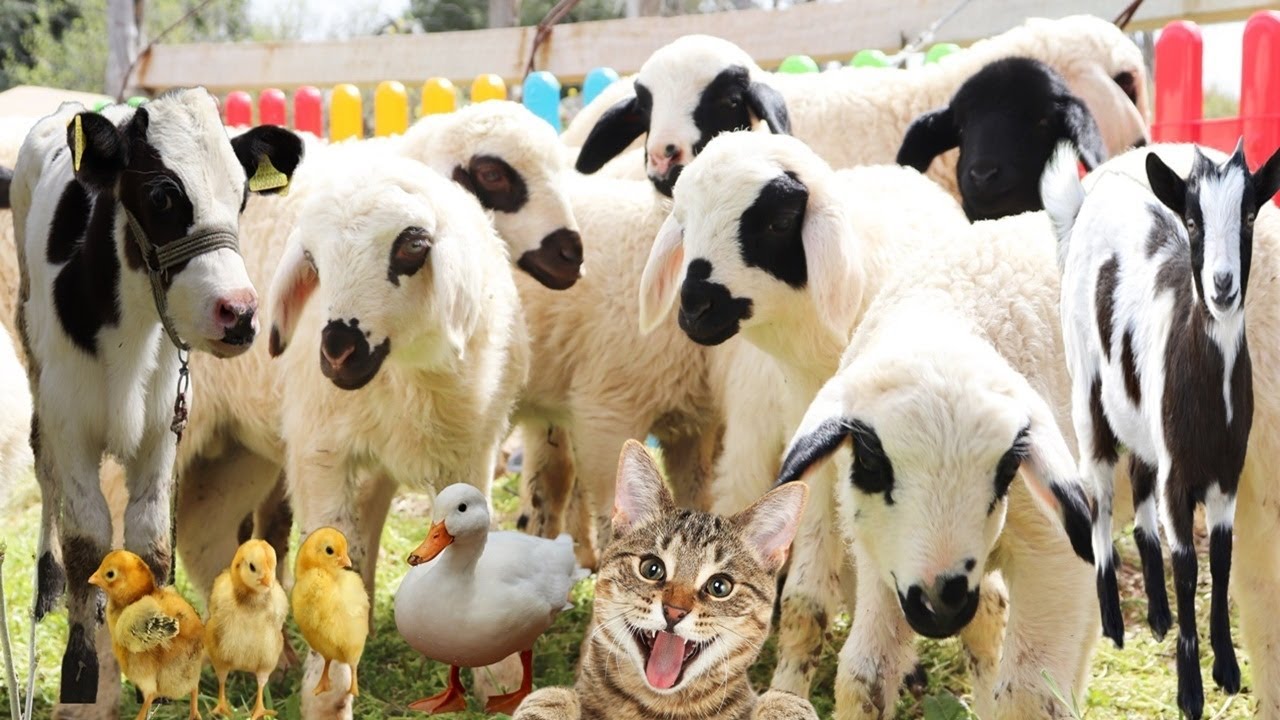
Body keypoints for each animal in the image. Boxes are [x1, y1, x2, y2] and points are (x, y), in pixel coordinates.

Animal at [10, 88, 303, 708]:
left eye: (242, 197)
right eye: (164, 194)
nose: (240, 313)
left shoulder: (163, 426)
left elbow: (149, 538)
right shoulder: (70, 423)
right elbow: (87, 536)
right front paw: (80, 668)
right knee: (43, 469)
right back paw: (49, 582)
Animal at [264, 150, 529, 719]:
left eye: (412, 246)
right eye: (313, 262)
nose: (337, 352)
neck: (404, 372)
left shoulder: (472, 449)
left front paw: (498, 678)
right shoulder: (321, 450)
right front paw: (327, 699)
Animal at [636, 131, 985, 698]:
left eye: (778, 222)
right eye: (683, 224)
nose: (693, 306)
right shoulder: (811, 463)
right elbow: (805, 599)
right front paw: (785, 690)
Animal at [772, 209, 1098, 717]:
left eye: (1008, 469)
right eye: (871, 459)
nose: (941, 602)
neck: (945, 313)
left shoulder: (1056, 552)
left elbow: (1028, 694)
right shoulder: (879, 553)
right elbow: (865, 676)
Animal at [1041, 138, 1280, 719]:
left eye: (1248, 214)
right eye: (1192, 221)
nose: (1222, 286)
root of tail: (1086, 202)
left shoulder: (1225, 473)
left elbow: (1221, 560)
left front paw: (1228, 671)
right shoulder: (1180, 478)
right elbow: (1188, 565)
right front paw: (1191, 692)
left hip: (1142, 422)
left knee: (1138, 486)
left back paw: (1156, 615)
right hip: (1088, 391)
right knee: (1101, 496)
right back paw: (1113, 622)